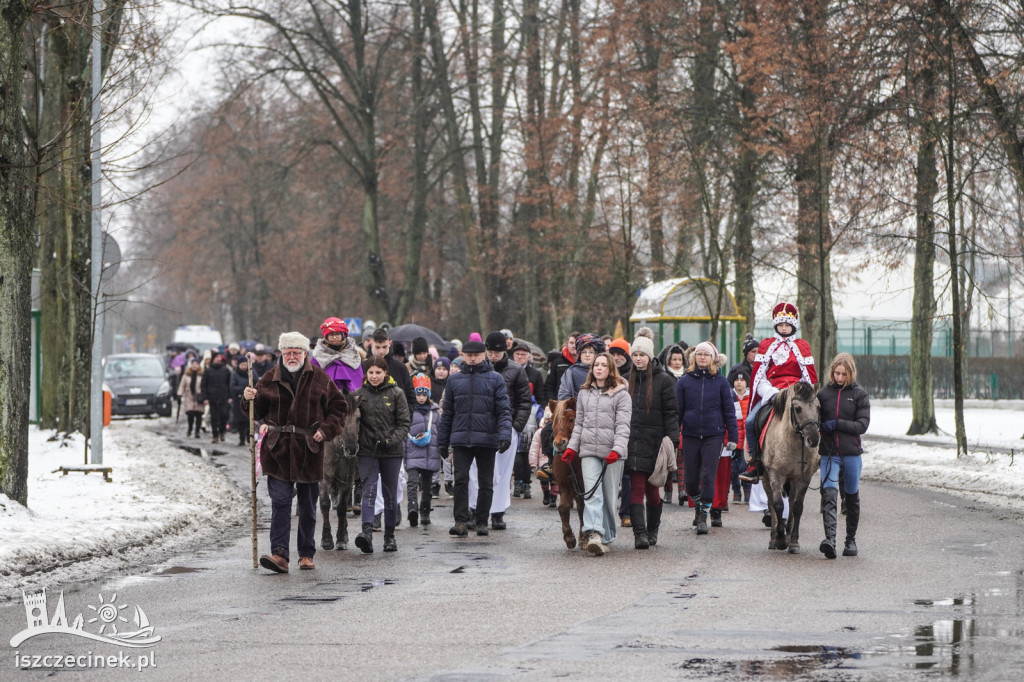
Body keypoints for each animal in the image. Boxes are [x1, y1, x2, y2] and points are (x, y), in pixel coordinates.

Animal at [325, 395, 366, 548]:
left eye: (358, 418)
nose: (352, 448)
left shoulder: (347, 480)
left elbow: (342, 508)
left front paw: (341, 539)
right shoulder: (324, 479)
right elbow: (324, 504)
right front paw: (326, 540)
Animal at [548, 399, 589, 548]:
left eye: (572, 419)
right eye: (552, 420)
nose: (559, 443)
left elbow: (584, 508)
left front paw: (584, 538)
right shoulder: (565, 486)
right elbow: (563, 507)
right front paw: (569, 537)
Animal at [761, 382, 823, 552]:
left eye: (818, 407)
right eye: (798, 408)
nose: (813, 439)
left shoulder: (803, 477)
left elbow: (797, 506)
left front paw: (793, 541)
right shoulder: (775, 473)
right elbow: (777, 505)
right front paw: (780, 539)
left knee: (791, 500)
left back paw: (788, 532)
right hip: (765, 476)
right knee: (771, 501)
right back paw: (774, 537)